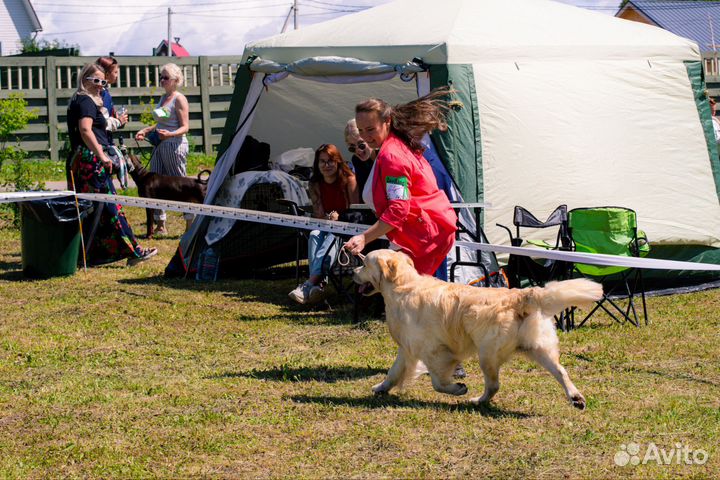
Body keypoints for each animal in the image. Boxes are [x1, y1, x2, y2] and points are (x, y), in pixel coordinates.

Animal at [352, 249, 600, 410]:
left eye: (364, 264)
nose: (352, 271)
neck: (403, 286)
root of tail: (520, 294)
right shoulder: (407, 348)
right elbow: (393, 373)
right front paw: (381, 388)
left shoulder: (434, 351)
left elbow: (437, 382)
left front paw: (458, 388)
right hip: (538, 348)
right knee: (561, 371)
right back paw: (576, 398)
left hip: (487, 353)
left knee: (494, 385)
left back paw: (476, 400)